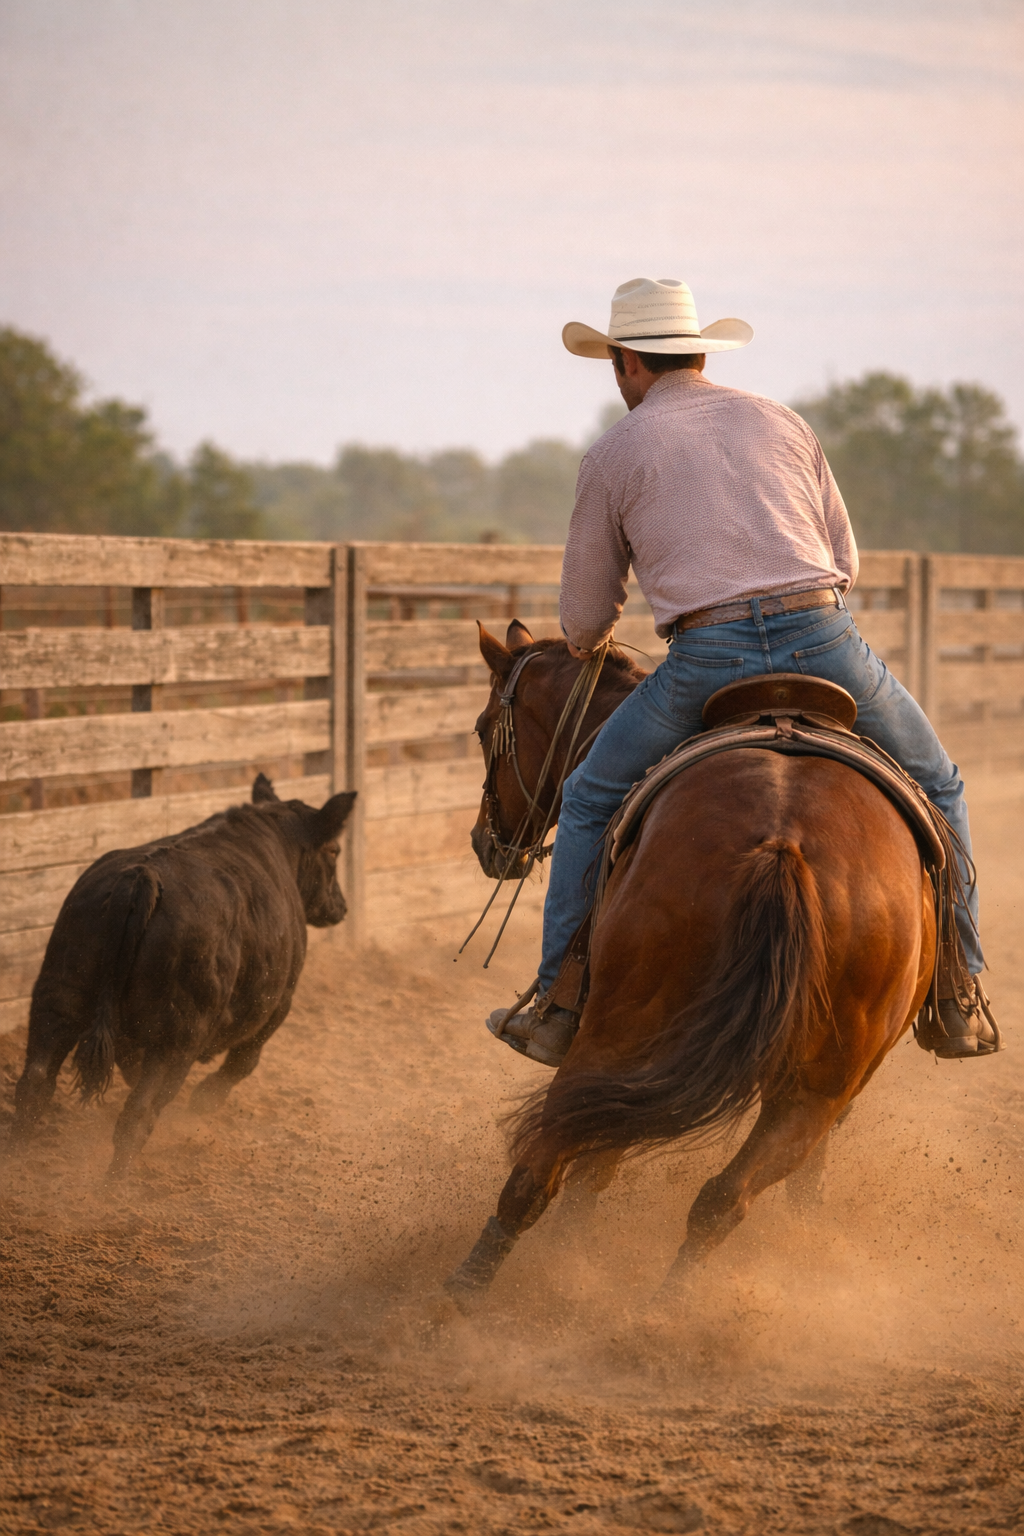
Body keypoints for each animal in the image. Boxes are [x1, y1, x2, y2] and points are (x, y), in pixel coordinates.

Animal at [448, 619, 935, 1305]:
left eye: (483, 725)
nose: (484, 843)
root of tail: (784, 844)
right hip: (811, 1081)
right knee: (719, 1197)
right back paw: (658, 1309)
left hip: (625, 1035)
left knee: (556, 1165)